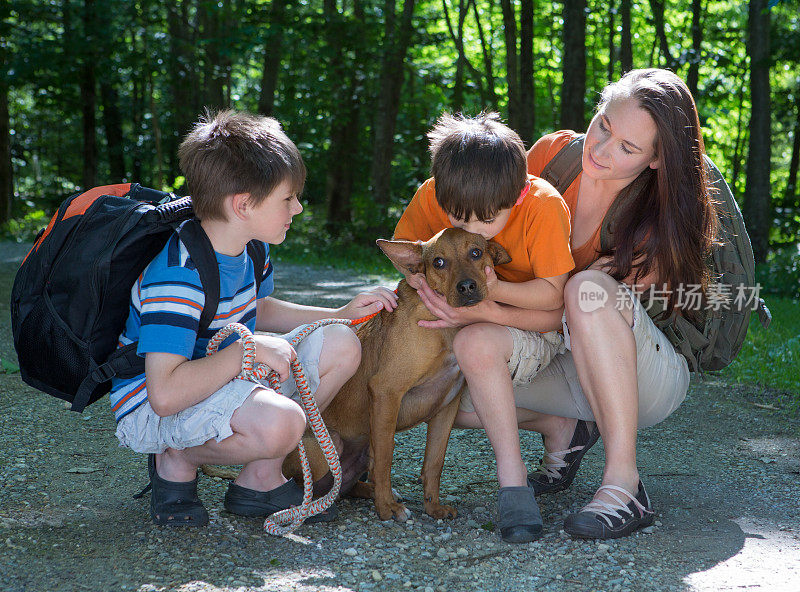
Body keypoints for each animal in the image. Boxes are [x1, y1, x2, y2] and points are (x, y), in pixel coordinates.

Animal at [288, 229, 510, 520]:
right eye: (438, 262)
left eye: (476, 252)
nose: (466, 287)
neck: (443, 329)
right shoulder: (386, 392)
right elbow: (385, 458)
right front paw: (386, 508)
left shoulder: (446, 408)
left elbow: (434, 462)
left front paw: (433, 507)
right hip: (327, 445)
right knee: (311, 485)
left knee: (348, 485)